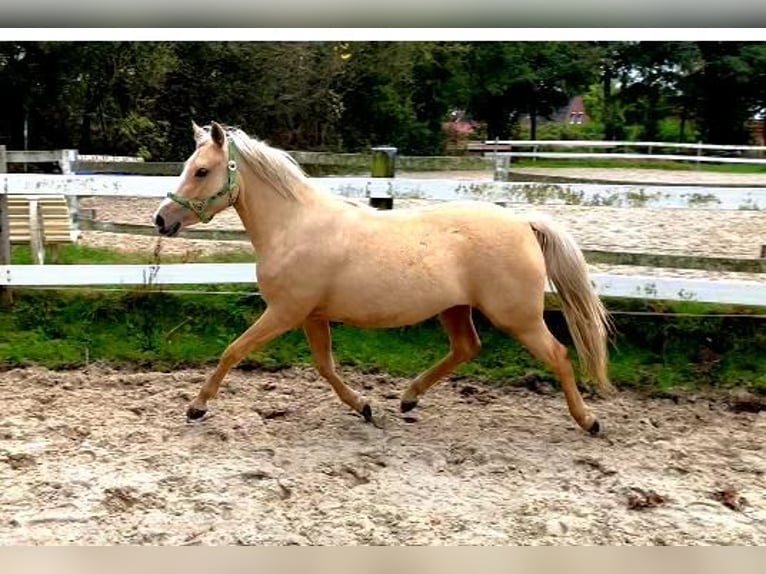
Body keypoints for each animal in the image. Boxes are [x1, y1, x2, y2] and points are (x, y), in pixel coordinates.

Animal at [153, 122, 616, 436]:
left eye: (201, 171)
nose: (161, 220)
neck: (295, 226)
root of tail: (523, 222)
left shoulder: (285, 312)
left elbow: (233, 351)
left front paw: (197, 407)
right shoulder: (311, 315)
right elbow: (325, 366)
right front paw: (364, 406)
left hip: (517, 317)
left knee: (559, 355)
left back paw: (589, 421)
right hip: (455, 309)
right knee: (467, 348)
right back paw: (408, 399)